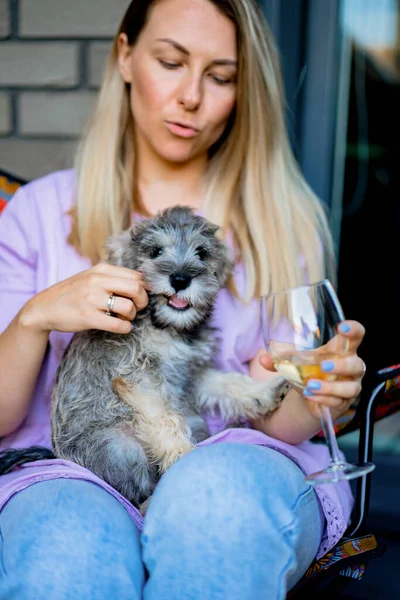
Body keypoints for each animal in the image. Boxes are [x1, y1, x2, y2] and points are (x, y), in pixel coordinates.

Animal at [50, 205, 288, 510]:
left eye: (202, 252)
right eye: (155, 252)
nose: (180, 279)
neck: (168, 326)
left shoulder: (190, 373)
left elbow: (229, 383)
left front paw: (264, 392)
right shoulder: (137, 373)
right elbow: (165, 418)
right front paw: (184, 453)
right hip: (120, 445)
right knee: (137, 491)